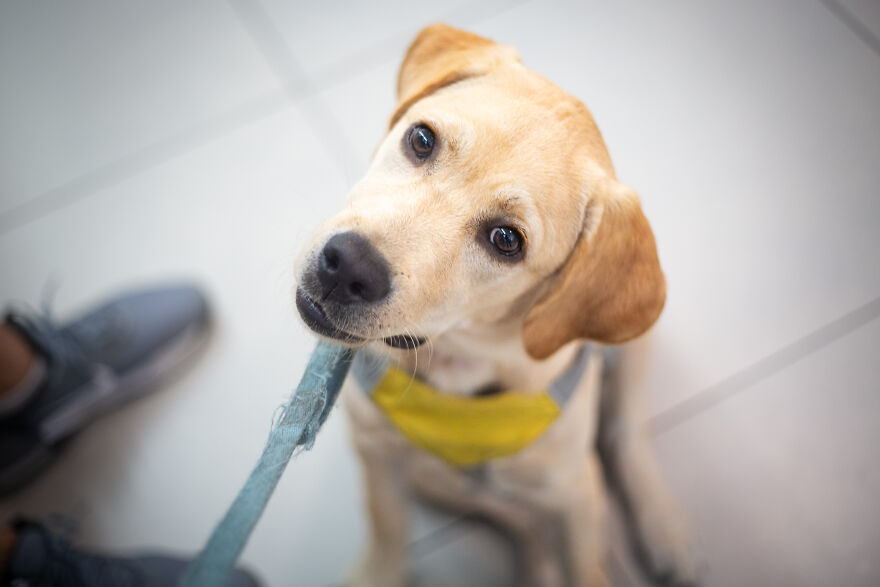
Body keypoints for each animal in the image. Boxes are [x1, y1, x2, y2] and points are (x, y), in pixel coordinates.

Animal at [296, 24, 696, 587]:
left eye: (506, 240)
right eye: (421, 139)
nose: (347, 265)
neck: (461, 368)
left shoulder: (577, 497)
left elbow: (585, 558)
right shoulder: (376, 452)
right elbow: (387, 530)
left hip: (635, 353)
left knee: (626, 435)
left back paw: (665, 530)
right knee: (520, 518)